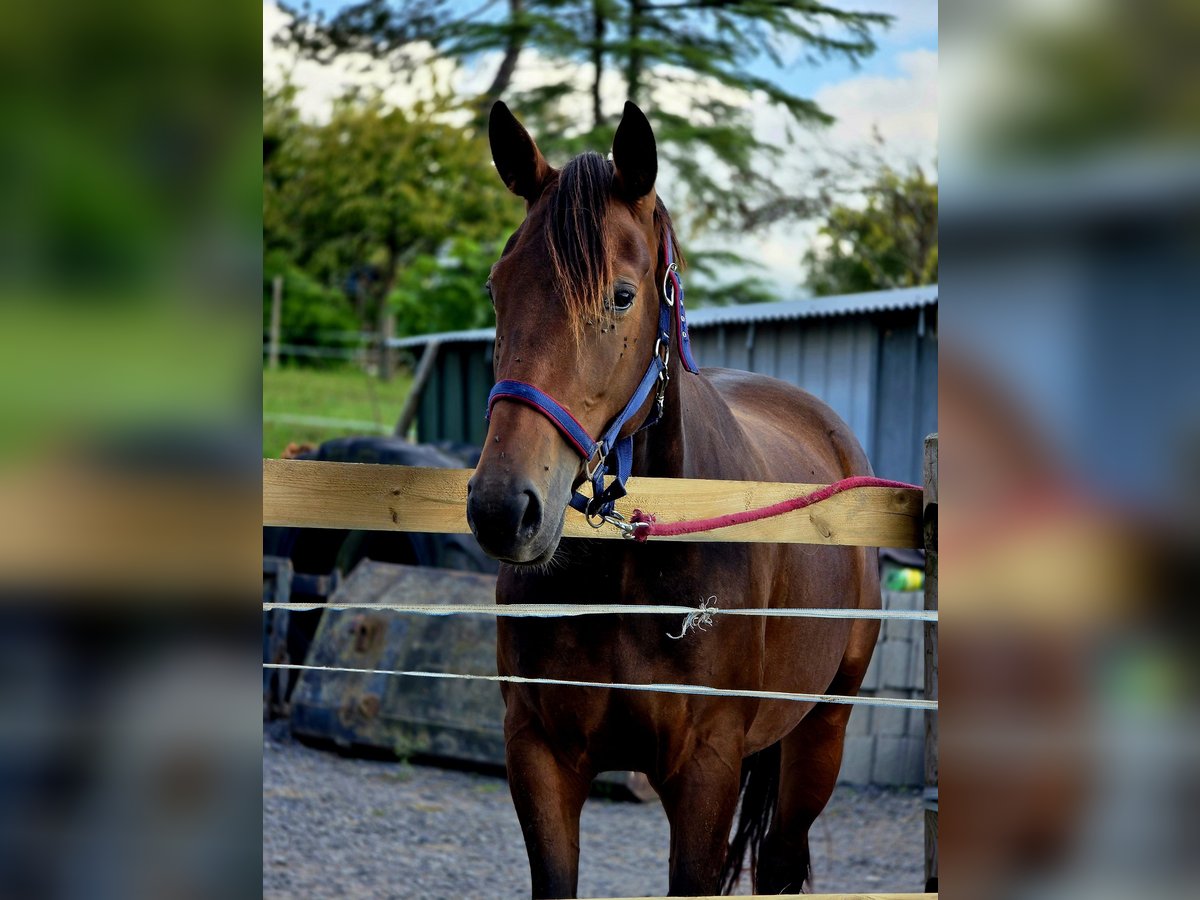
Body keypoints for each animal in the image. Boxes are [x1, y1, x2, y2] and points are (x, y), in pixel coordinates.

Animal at [468, 102, 883, 897]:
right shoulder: (538, 754)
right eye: (498, 288)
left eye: (622, 294)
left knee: (779, 860)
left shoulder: (706, 772)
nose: (503, 507)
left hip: (823, 731)